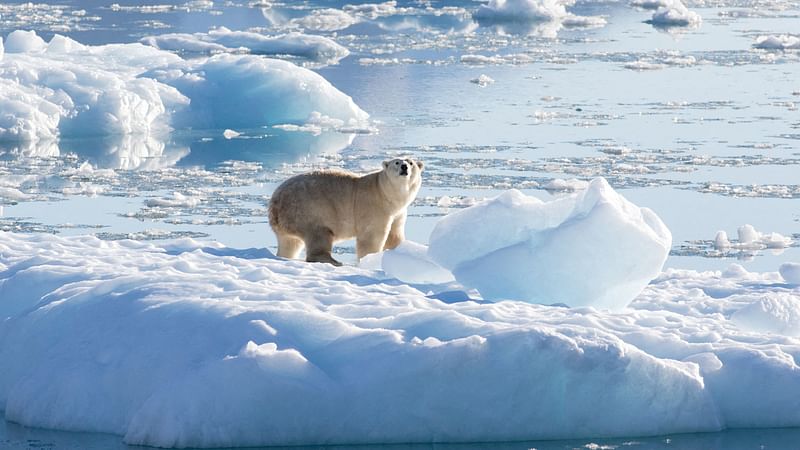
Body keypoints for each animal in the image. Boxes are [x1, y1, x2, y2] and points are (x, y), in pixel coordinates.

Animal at [268, 157, 422, 266]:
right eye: (396, 162)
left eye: (411, 162)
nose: (404, 167)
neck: (385, 193)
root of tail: (275, 203)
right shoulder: (374, 207)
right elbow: (371, 237)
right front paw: (370, 259)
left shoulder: (398, 212)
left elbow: (394, 235)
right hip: (308, 210)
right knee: (319, 234)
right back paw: (334, 261)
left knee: (290, 243)